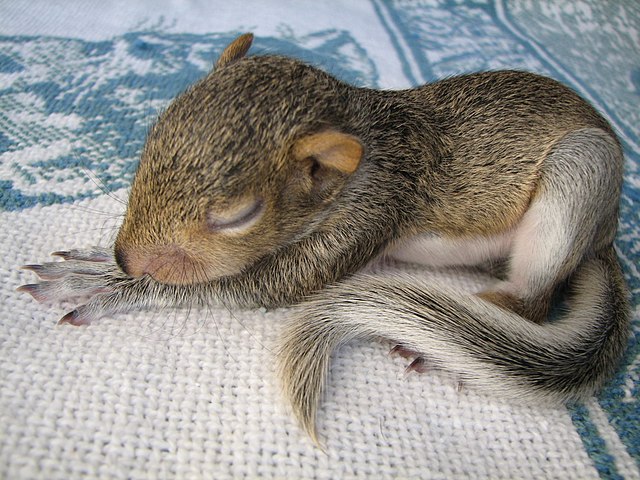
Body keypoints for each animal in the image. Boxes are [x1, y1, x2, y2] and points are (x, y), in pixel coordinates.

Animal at [21, 33, 632, 442]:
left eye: (238, 215)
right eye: (153, 134)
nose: (126, 257)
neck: (362, 144)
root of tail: (606, 235)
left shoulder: (372, 209)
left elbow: (258, 286)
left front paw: (110, 284)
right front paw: (103, 264)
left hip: (579, 176)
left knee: (533, 299)